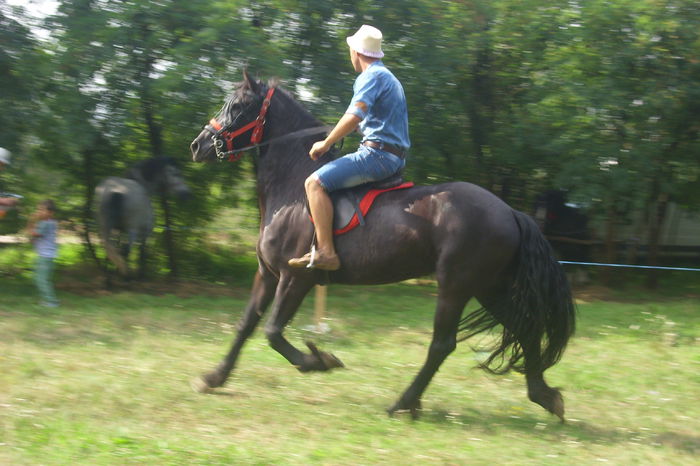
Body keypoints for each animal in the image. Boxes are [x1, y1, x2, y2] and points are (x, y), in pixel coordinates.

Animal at [190, 73, 576, 422]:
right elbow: (246, 325)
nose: (198, 145)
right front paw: (214, 377)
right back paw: (545, 396)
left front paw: (319, 361)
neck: (293, 192)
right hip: (489, 288)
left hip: (457, 286)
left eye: (238, 106)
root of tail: (510, 212)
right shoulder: (267, 274)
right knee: (524, 329)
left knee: (443, 344)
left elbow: (272, 332)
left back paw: (403, 403)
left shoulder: (295, 277)